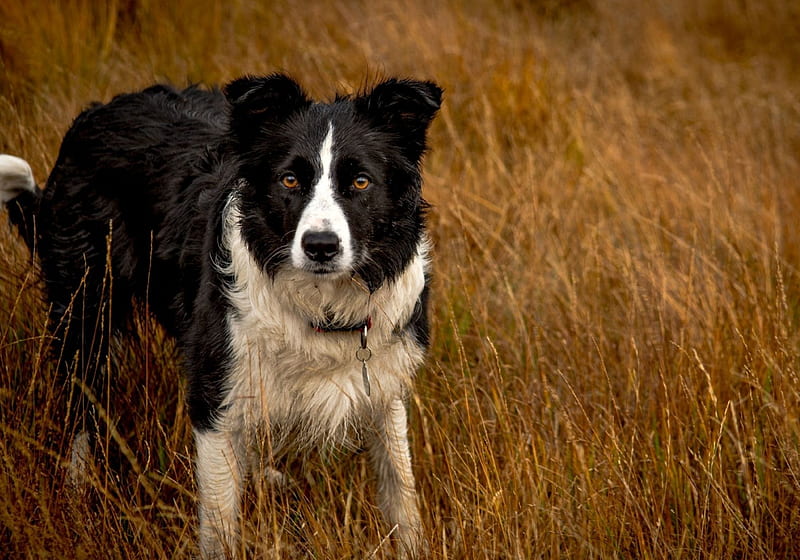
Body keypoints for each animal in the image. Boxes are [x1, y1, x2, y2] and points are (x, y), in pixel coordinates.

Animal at [0, 73, 440, 556]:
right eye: (289, 180)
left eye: (361, 182)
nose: (320, 246)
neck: (322, 305)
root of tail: (94, 114)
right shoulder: (215, 395)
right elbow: (219, 523)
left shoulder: (384, 384)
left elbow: (401, 489)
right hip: (86, 304)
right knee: (82, 404)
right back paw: (77, 493)